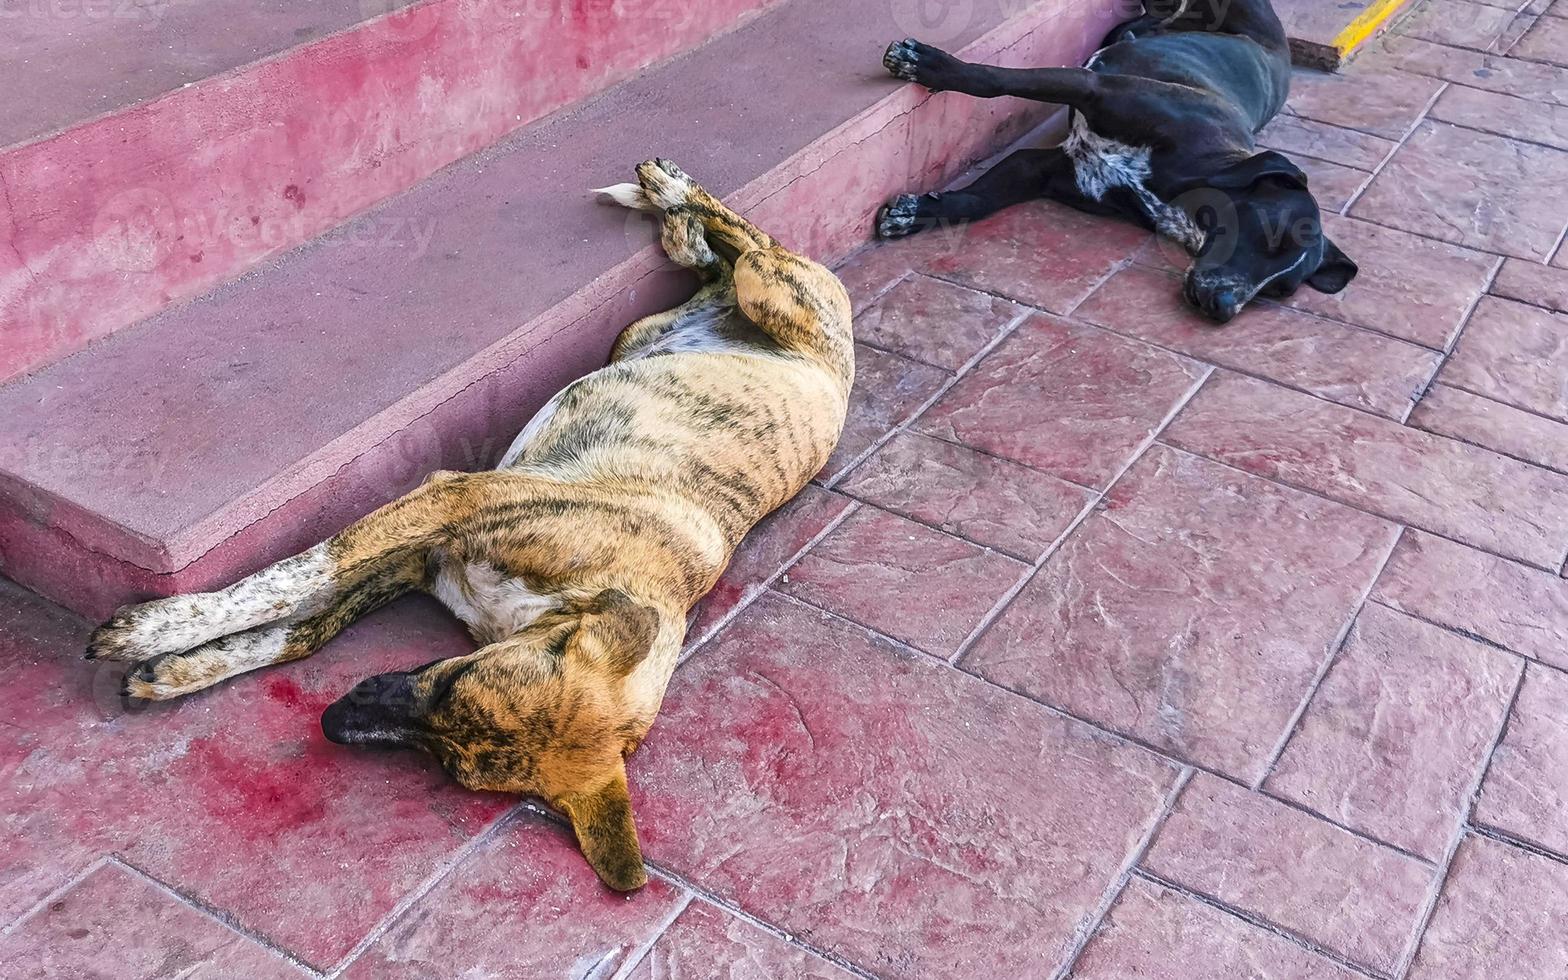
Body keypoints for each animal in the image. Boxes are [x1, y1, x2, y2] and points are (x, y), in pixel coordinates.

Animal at [82, 158, 859, 884]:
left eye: (451, 762)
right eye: (455, 680)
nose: (333, 722)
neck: (574, 597)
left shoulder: (428, 553)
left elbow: (307, 626)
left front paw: (179, 668)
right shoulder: (447, 507)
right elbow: (298, 582)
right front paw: (155, 633)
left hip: (657, 328)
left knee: (717, 262)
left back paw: (677, 224)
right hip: (761, 293)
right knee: (751, 242)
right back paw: (671, 193)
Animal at [878, 0, 1354, 323]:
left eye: (1280, 291)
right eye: (1271, 237)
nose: (1223, 309)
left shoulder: (1050, 170)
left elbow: (976, 201)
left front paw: (917, 213)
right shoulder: (1091, 86)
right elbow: (994, 80)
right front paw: (932, 66)